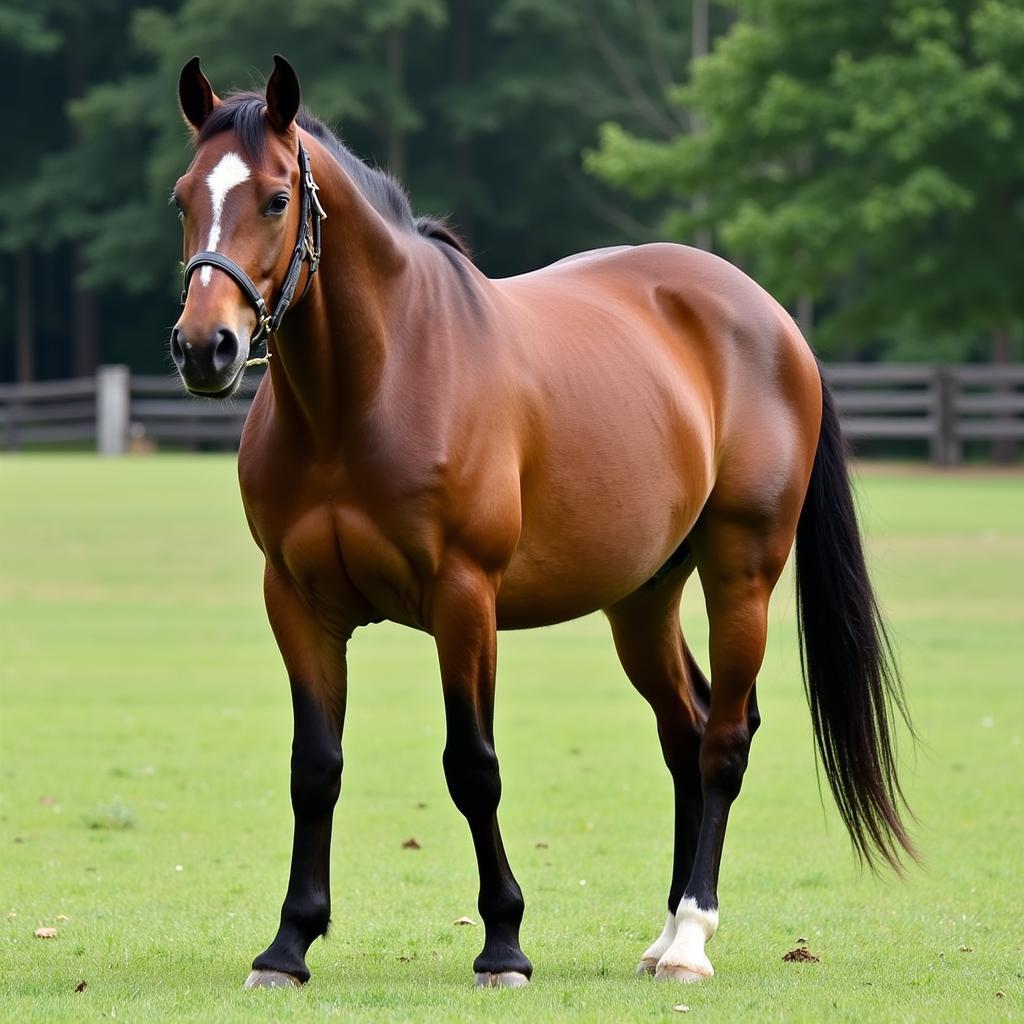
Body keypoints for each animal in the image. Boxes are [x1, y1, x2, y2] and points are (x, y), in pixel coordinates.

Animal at [172, 56, 917, 991]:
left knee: (723, 740)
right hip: (642, 598)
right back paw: (663, 934)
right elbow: (316, 769)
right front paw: (288, 946)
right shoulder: (299, 604)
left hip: (741, 571)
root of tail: (771, 318)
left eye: (275, 199)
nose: (205, 348)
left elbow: (472, 768)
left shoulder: (465, 601)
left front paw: (503, 944)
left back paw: (692, 939)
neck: (371, 388)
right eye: (182, 198)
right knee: (685, 729)